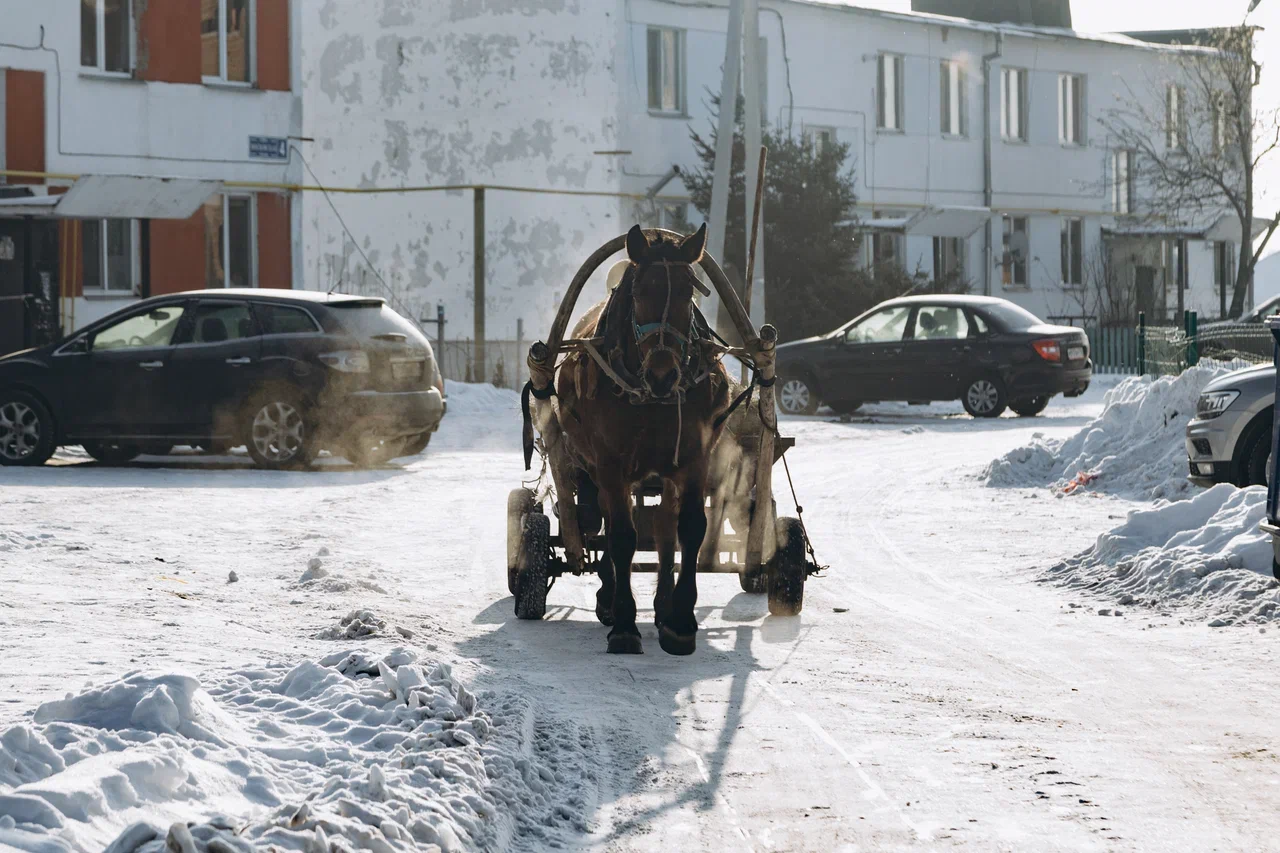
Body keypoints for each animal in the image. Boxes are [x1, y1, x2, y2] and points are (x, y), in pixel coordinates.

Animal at [558, 222, 732, 653]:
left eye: (688, 292)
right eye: (638, 293)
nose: (663, 374)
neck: (652, 397)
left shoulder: (693, 458)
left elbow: (689, 528)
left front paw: (680, 619)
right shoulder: (611, 463)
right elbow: (622, 535)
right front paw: (623, 622)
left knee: (666, 527)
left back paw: (663, 603)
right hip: (596, 466)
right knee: (604, 517)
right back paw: (609, 597)